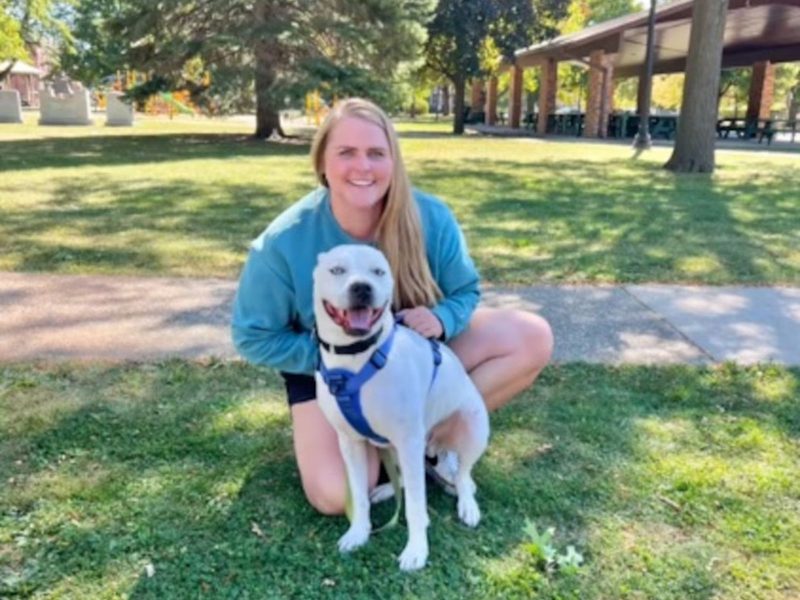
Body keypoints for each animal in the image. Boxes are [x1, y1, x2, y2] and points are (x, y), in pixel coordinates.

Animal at [310, 241, 488, 568]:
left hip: (471, 430)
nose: (362, 287)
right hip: (398, 447)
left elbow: (416, 508)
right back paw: (384, 490)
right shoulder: (350, 443)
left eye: (378, 272)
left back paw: (467, 505)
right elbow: (358, 494)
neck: (357, 356)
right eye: (337, 269)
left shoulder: (408, 440)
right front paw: (358, 532)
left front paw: (417, 549)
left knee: (463, 474)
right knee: (405, 478)